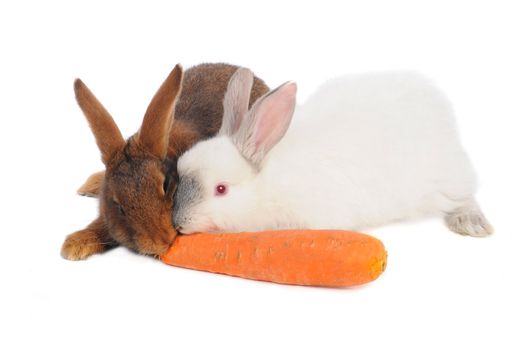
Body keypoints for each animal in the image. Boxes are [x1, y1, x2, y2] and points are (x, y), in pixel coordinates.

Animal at [172, 67, 492, 238]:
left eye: (221, 189)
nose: (178, 223)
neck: (266, 184)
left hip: (447, 179)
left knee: (467, 195)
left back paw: (472, 224)